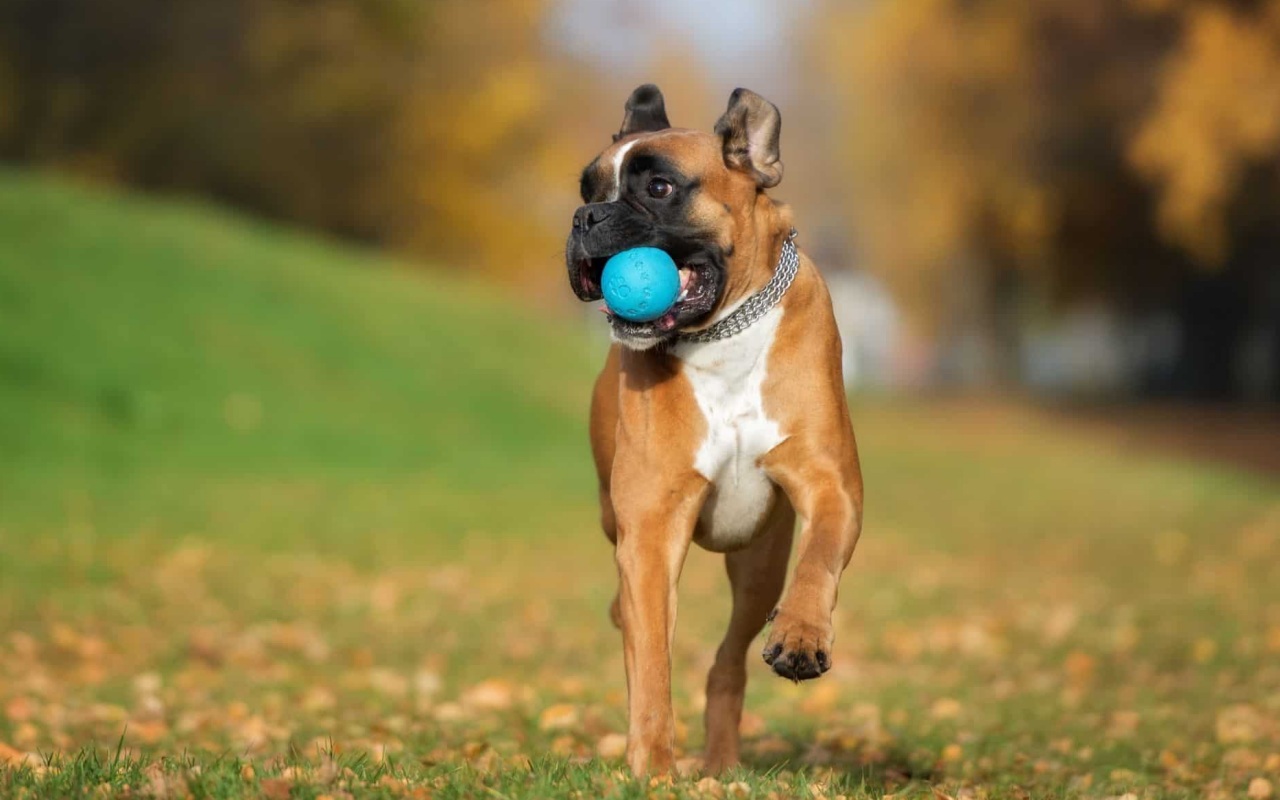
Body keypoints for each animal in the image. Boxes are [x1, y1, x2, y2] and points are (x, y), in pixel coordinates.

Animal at [565, 82, 865, 773]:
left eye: (658, 188)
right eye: (588, 188)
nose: (584, 218)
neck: (723, 332)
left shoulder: (831, 486)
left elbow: (820, 555)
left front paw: (802, 632)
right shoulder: (649, 530)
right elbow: (651, 664)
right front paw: (651, 766)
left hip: (757, 567)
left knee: (728, 661)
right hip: (620, 522)